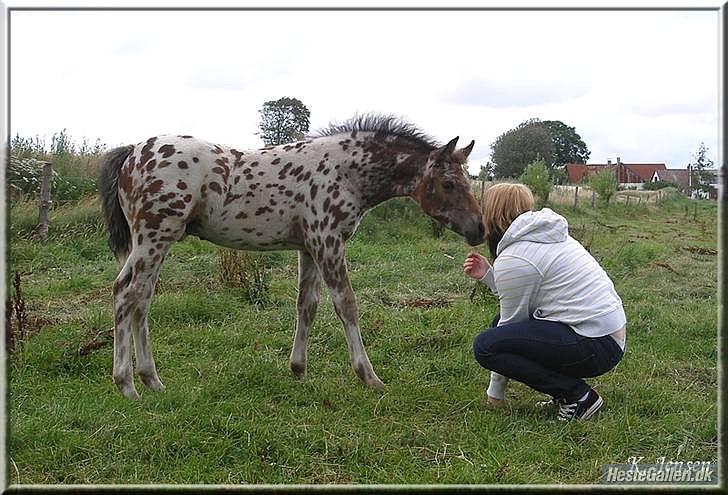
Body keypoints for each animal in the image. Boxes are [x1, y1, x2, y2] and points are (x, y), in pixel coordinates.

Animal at [96, 115, 484, 400]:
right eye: (449, 183)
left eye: (467, 181)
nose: (479, 229)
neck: (346, 171)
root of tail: (132, 152)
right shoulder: (327, 241)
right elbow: (346, 304)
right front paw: (369, 376)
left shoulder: (308, 248)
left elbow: (307, 305)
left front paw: (298, 369)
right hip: (154, 238)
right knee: (130, 296)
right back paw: (126, 385)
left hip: (151, 243)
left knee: (136, 297)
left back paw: (151, 380)